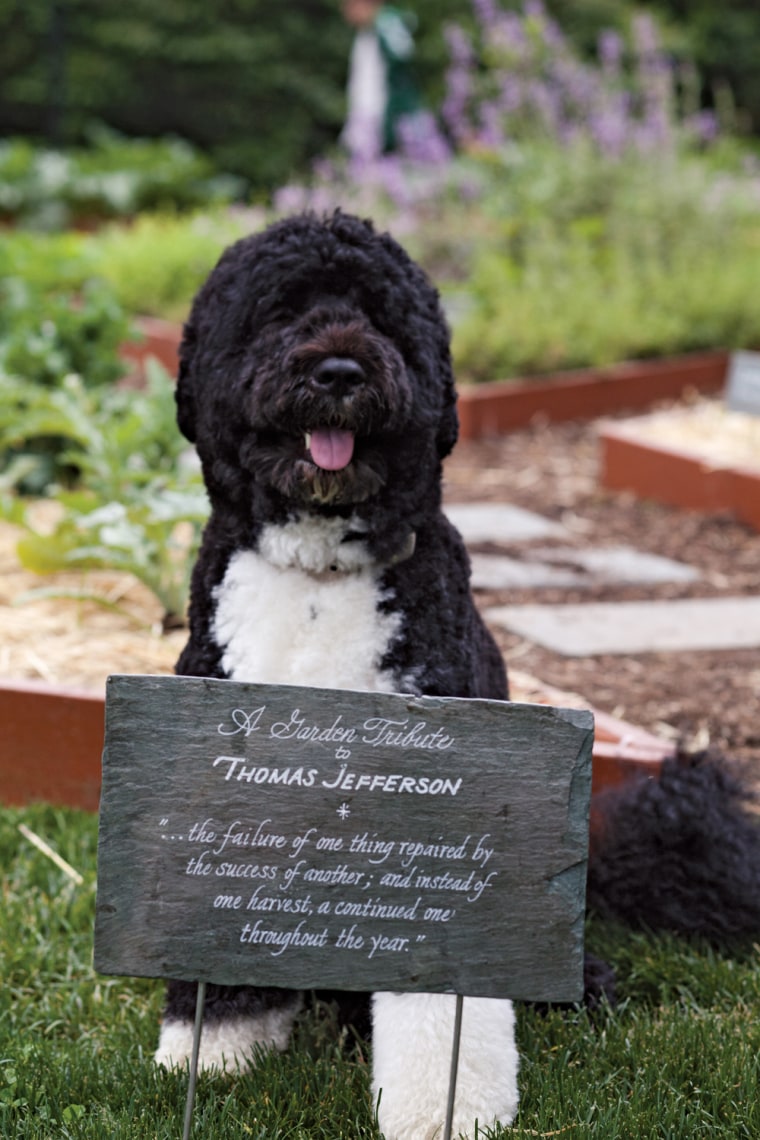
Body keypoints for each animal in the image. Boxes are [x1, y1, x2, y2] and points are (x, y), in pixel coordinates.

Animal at [152, 209, 524, 1135]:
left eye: (384, 316)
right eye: (279, 311)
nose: (341, 369)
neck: (320, 573)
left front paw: (447, 1110)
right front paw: (214, 1054)